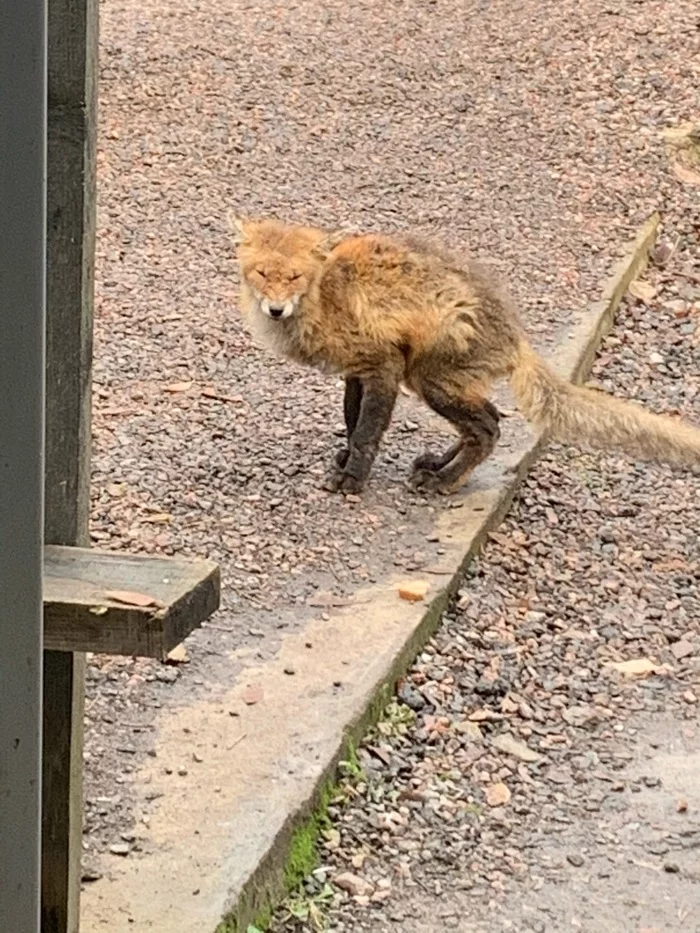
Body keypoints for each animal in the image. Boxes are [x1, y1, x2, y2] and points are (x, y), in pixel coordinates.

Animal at [232, 217, 700, 496]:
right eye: (262, 273)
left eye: (294, 277)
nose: (276, 309)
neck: (327, 298)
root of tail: (516, 336)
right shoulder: (358, 372)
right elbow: (352, 423)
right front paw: (347, 461)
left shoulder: (383, 367)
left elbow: (366, 433)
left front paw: (352, 479)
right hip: (439, 383)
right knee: (484, 423)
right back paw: (440, 465)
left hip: (429, 381)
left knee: (490, 429)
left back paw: (445, 480)